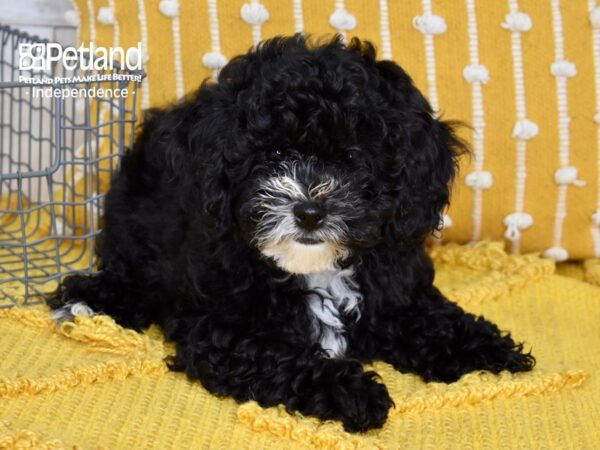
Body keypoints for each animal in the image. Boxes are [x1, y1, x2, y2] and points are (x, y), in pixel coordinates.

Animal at [48, 36, 536, 432]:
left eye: (352, 158)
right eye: (275, 153)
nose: (309, 211)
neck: (316, 269)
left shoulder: (396, 289)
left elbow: (429, 318)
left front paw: (488, 347)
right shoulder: (222, 327)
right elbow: (278, 354)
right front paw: (353, 392)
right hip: (135, 231)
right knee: (132, 274)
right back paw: (89, 299)